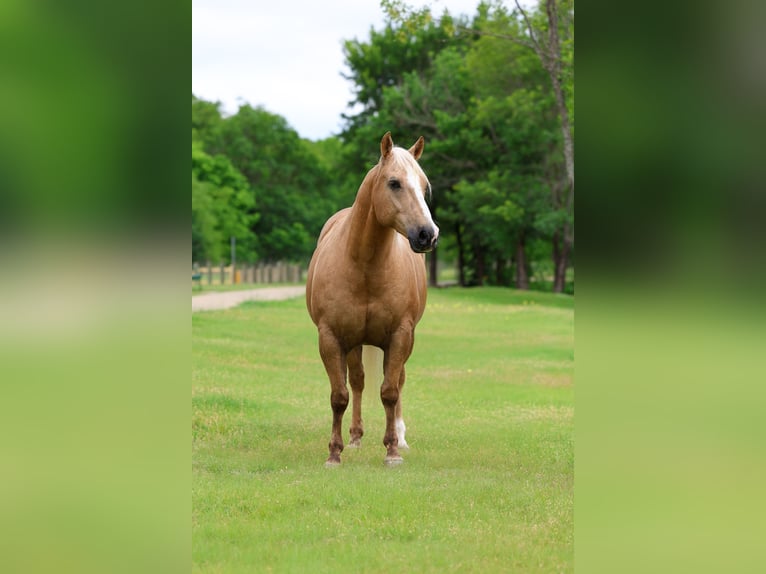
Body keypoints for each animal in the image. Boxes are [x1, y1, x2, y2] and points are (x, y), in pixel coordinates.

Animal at [306, 132, 439, 466]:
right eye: (394, 183)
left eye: (424, 185)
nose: (428, 234)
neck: (364, 265)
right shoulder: (331, 338)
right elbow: (339, 396)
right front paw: (334, 453)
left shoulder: (400, 336)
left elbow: (390, 391)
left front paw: (392, 451)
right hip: (354, 343)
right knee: (358, 382)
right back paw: (354, 437)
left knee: (398, 381)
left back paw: (400, 437)